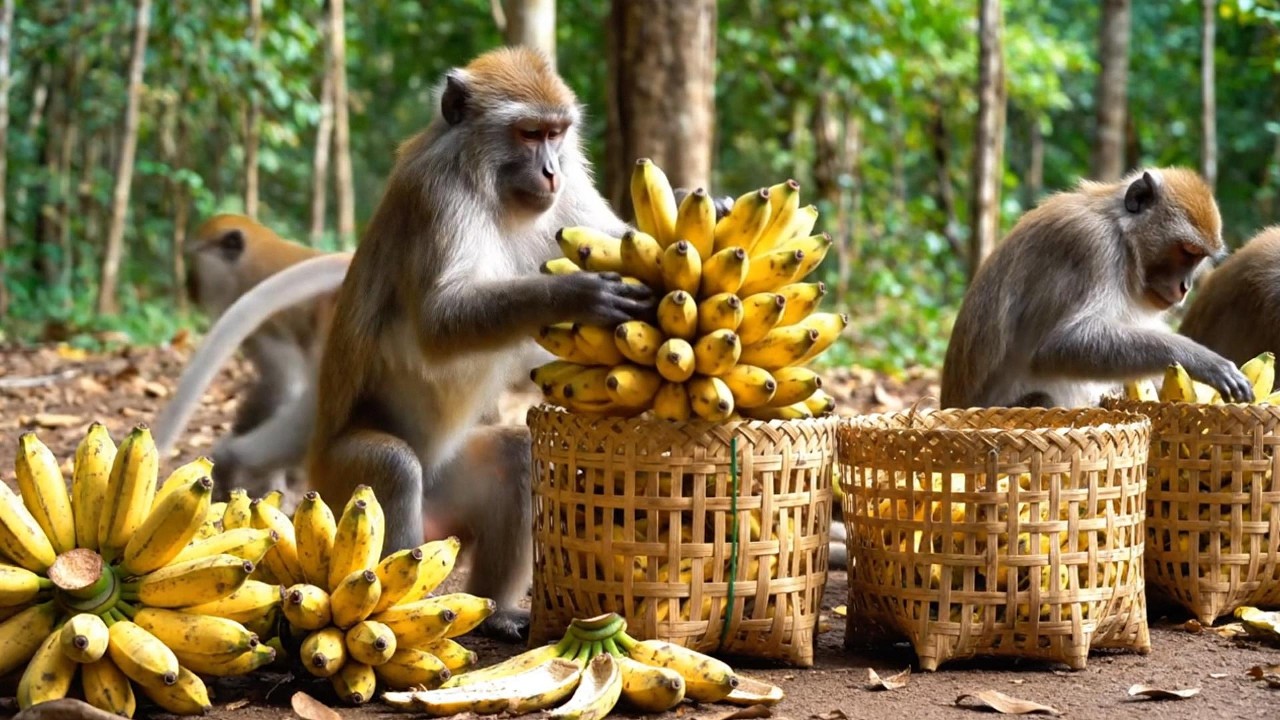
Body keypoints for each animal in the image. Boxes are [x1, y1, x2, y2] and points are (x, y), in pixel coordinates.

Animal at [940, 167, 1254, 410]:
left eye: (1198, 257)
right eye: (1187, 250)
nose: (1184, 286)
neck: (1122, 236)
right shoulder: (1090, 247)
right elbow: (1060, 344)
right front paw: (1203, 360)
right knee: (1044, 399)